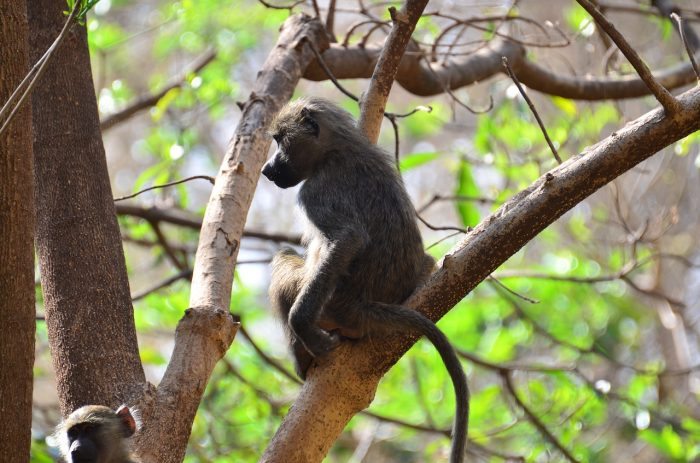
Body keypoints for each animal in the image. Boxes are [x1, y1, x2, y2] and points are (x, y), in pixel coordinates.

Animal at [261, 97, 469, 463]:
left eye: (279, 140)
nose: (266, 169)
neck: (337, 148)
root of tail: (362, 306)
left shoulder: (315, 191)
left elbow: (348, 239)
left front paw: (301, 327)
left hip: (331, 306)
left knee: (284, 265)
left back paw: (302, 357)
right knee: (426, 263)